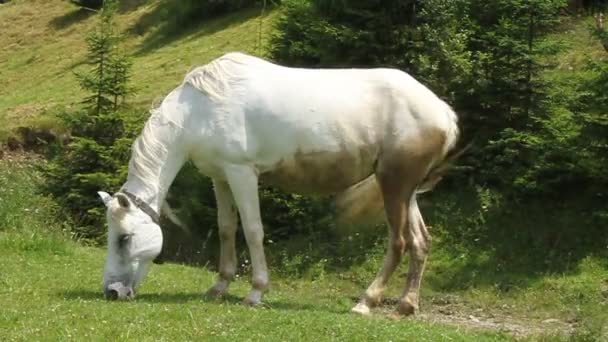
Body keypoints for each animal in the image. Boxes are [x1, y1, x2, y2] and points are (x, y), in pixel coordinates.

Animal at [97, 52, 458, 316]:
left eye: (124, 238)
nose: (112, 292)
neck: (199, 109)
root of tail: (443, 111)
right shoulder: (220, 177)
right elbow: (226, 228)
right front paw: (219, 287)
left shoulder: (242, 173)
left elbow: (253, 230)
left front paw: (256, 292)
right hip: (405, 189)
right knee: (420, 241)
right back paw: (405, 306)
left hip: (394, 185)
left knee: (398, 242)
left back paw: (366, 302)